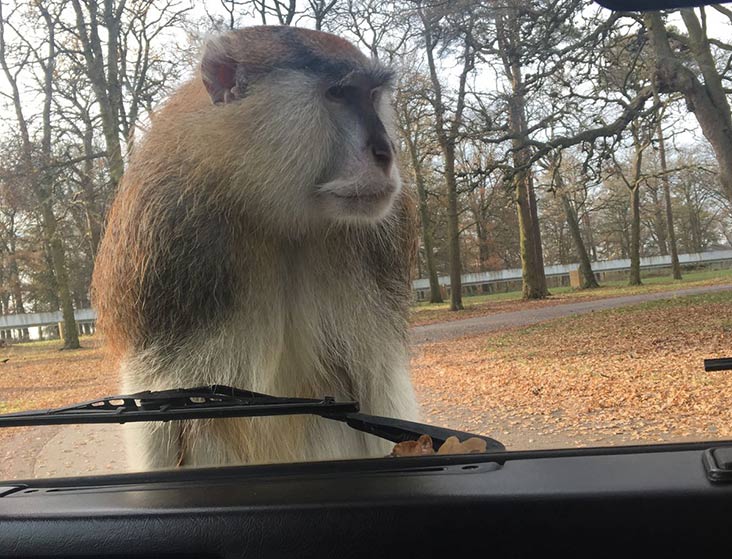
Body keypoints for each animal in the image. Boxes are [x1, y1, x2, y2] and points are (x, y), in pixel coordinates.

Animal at [93, 27, 418, 472]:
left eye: (371, 95)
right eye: (338, 93)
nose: (387, 153)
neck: (275, 212)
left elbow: (378, 383)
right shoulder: (166, 243)